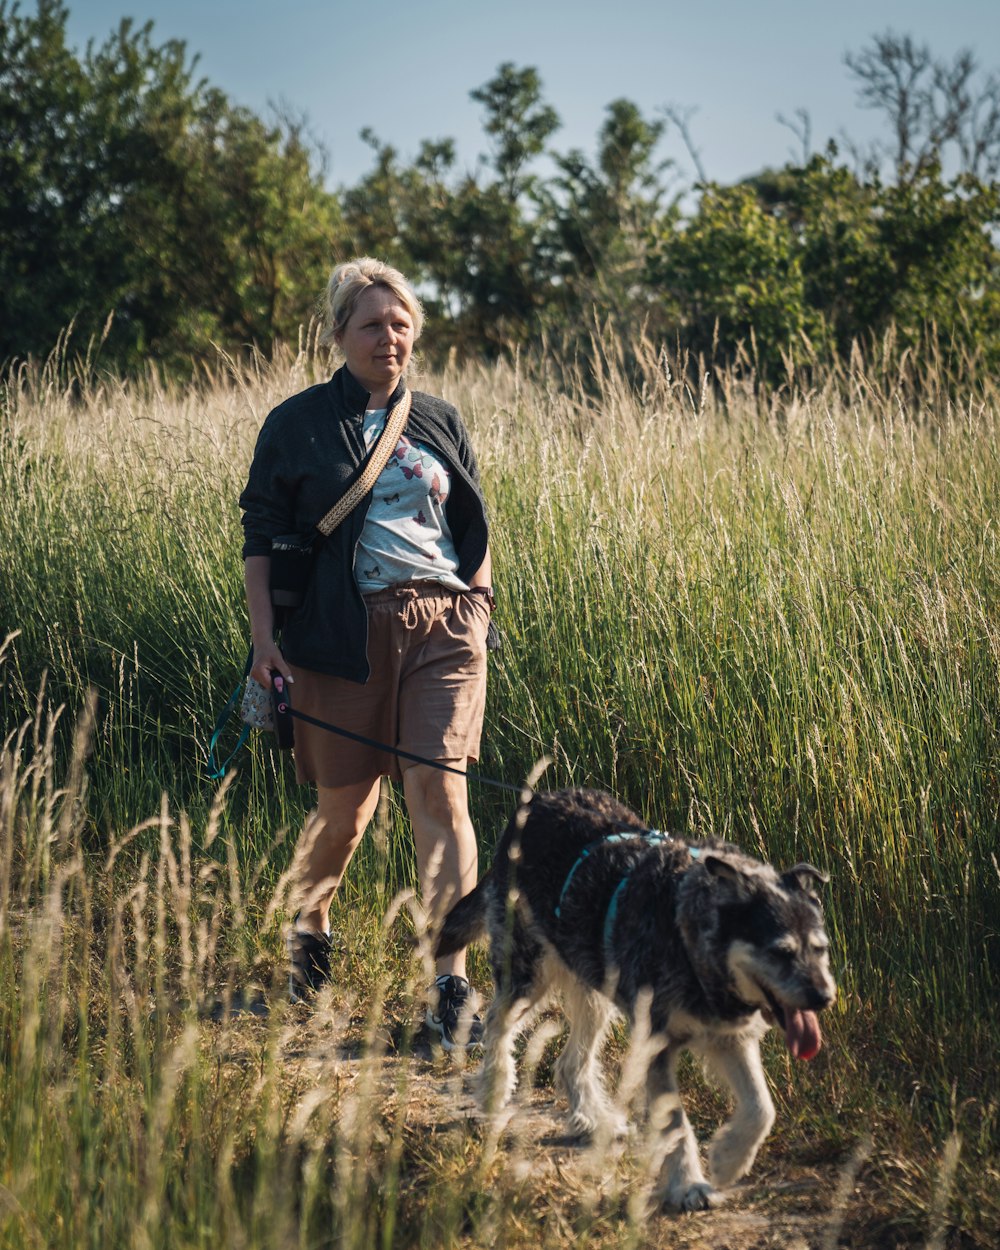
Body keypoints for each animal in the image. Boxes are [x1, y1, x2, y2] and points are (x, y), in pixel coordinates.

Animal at [437, 790, 835, 1210]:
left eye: (820, 949)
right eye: (781, 951)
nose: (824, 997)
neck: (688, 929)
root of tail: (536, 800)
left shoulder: (731, 1037)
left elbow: (762, 1108)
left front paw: (728, 1160)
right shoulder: (656, 1044)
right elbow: (676, 1122)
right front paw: (689, 1185)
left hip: (595, 995)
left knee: (570, 1062)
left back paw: (593, 1121)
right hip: (529, 975)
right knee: (497, 1023)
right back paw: (496, 1092)